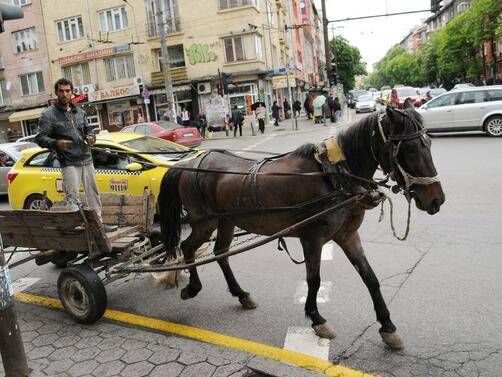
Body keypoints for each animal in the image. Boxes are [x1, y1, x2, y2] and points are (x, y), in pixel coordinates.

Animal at [159, 98, 446, 348]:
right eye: (409, 148)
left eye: (429, 142)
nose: (437, 200)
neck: (335, 176)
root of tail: (188, 163)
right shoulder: (312, 238)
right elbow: (314, 279)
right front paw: (317, 318)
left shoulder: (348, 236)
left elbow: (370, 278)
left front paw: (388, 326)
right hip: (204, 222)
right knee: (188, 248)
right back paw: (192, 287)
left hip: (226, 221)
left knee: (221, 253)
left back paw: (241, 294)